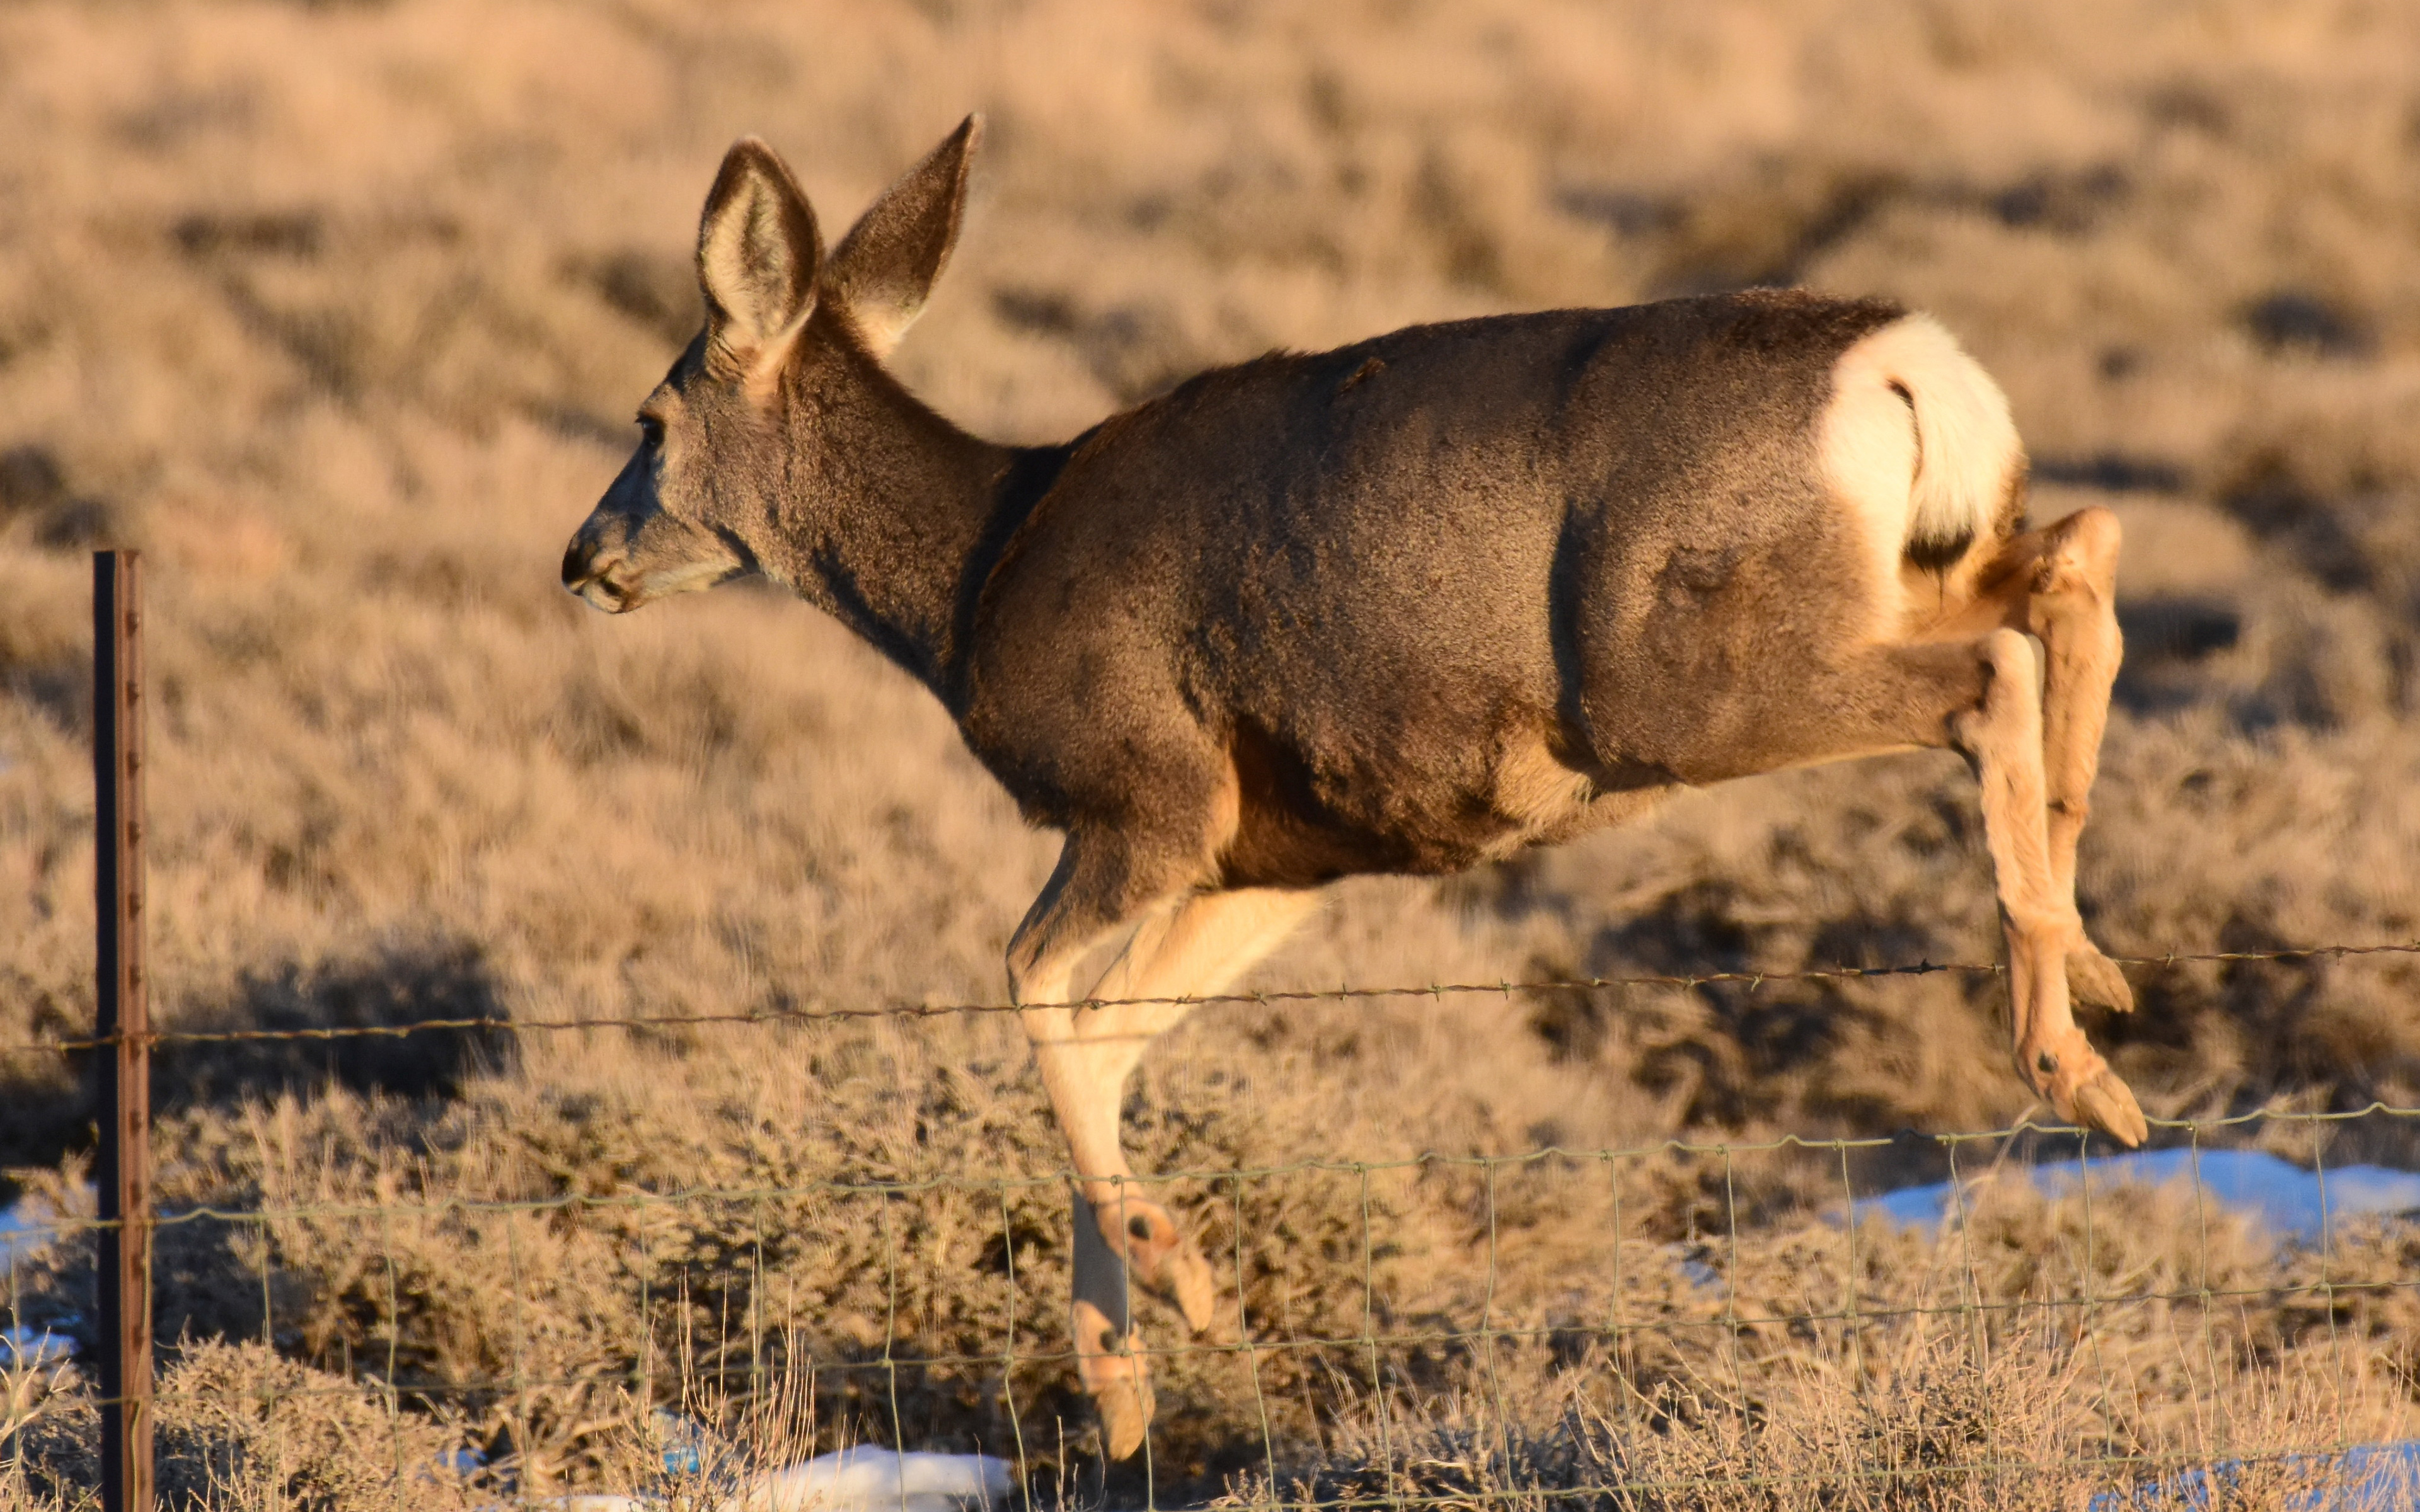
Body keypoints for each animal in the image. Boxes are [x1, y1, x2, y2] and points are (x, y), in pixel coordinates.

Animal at [561, 118, 2139, 1452]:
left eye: (648, 419)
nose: (583, 560)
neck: (973, 580)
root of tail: (1905, 361)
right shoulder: (1282, 860)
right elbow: (1108, 1038)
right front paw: (1120, 1384)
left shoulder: (1149, 794)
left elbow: (1023, 981)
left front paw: (1179, 1283)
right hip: (1889, 576)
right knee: (2076, 555)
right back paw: (2098, 968)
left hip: (1681, 674)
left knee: (1991, 668)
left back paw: (2074, 1064)